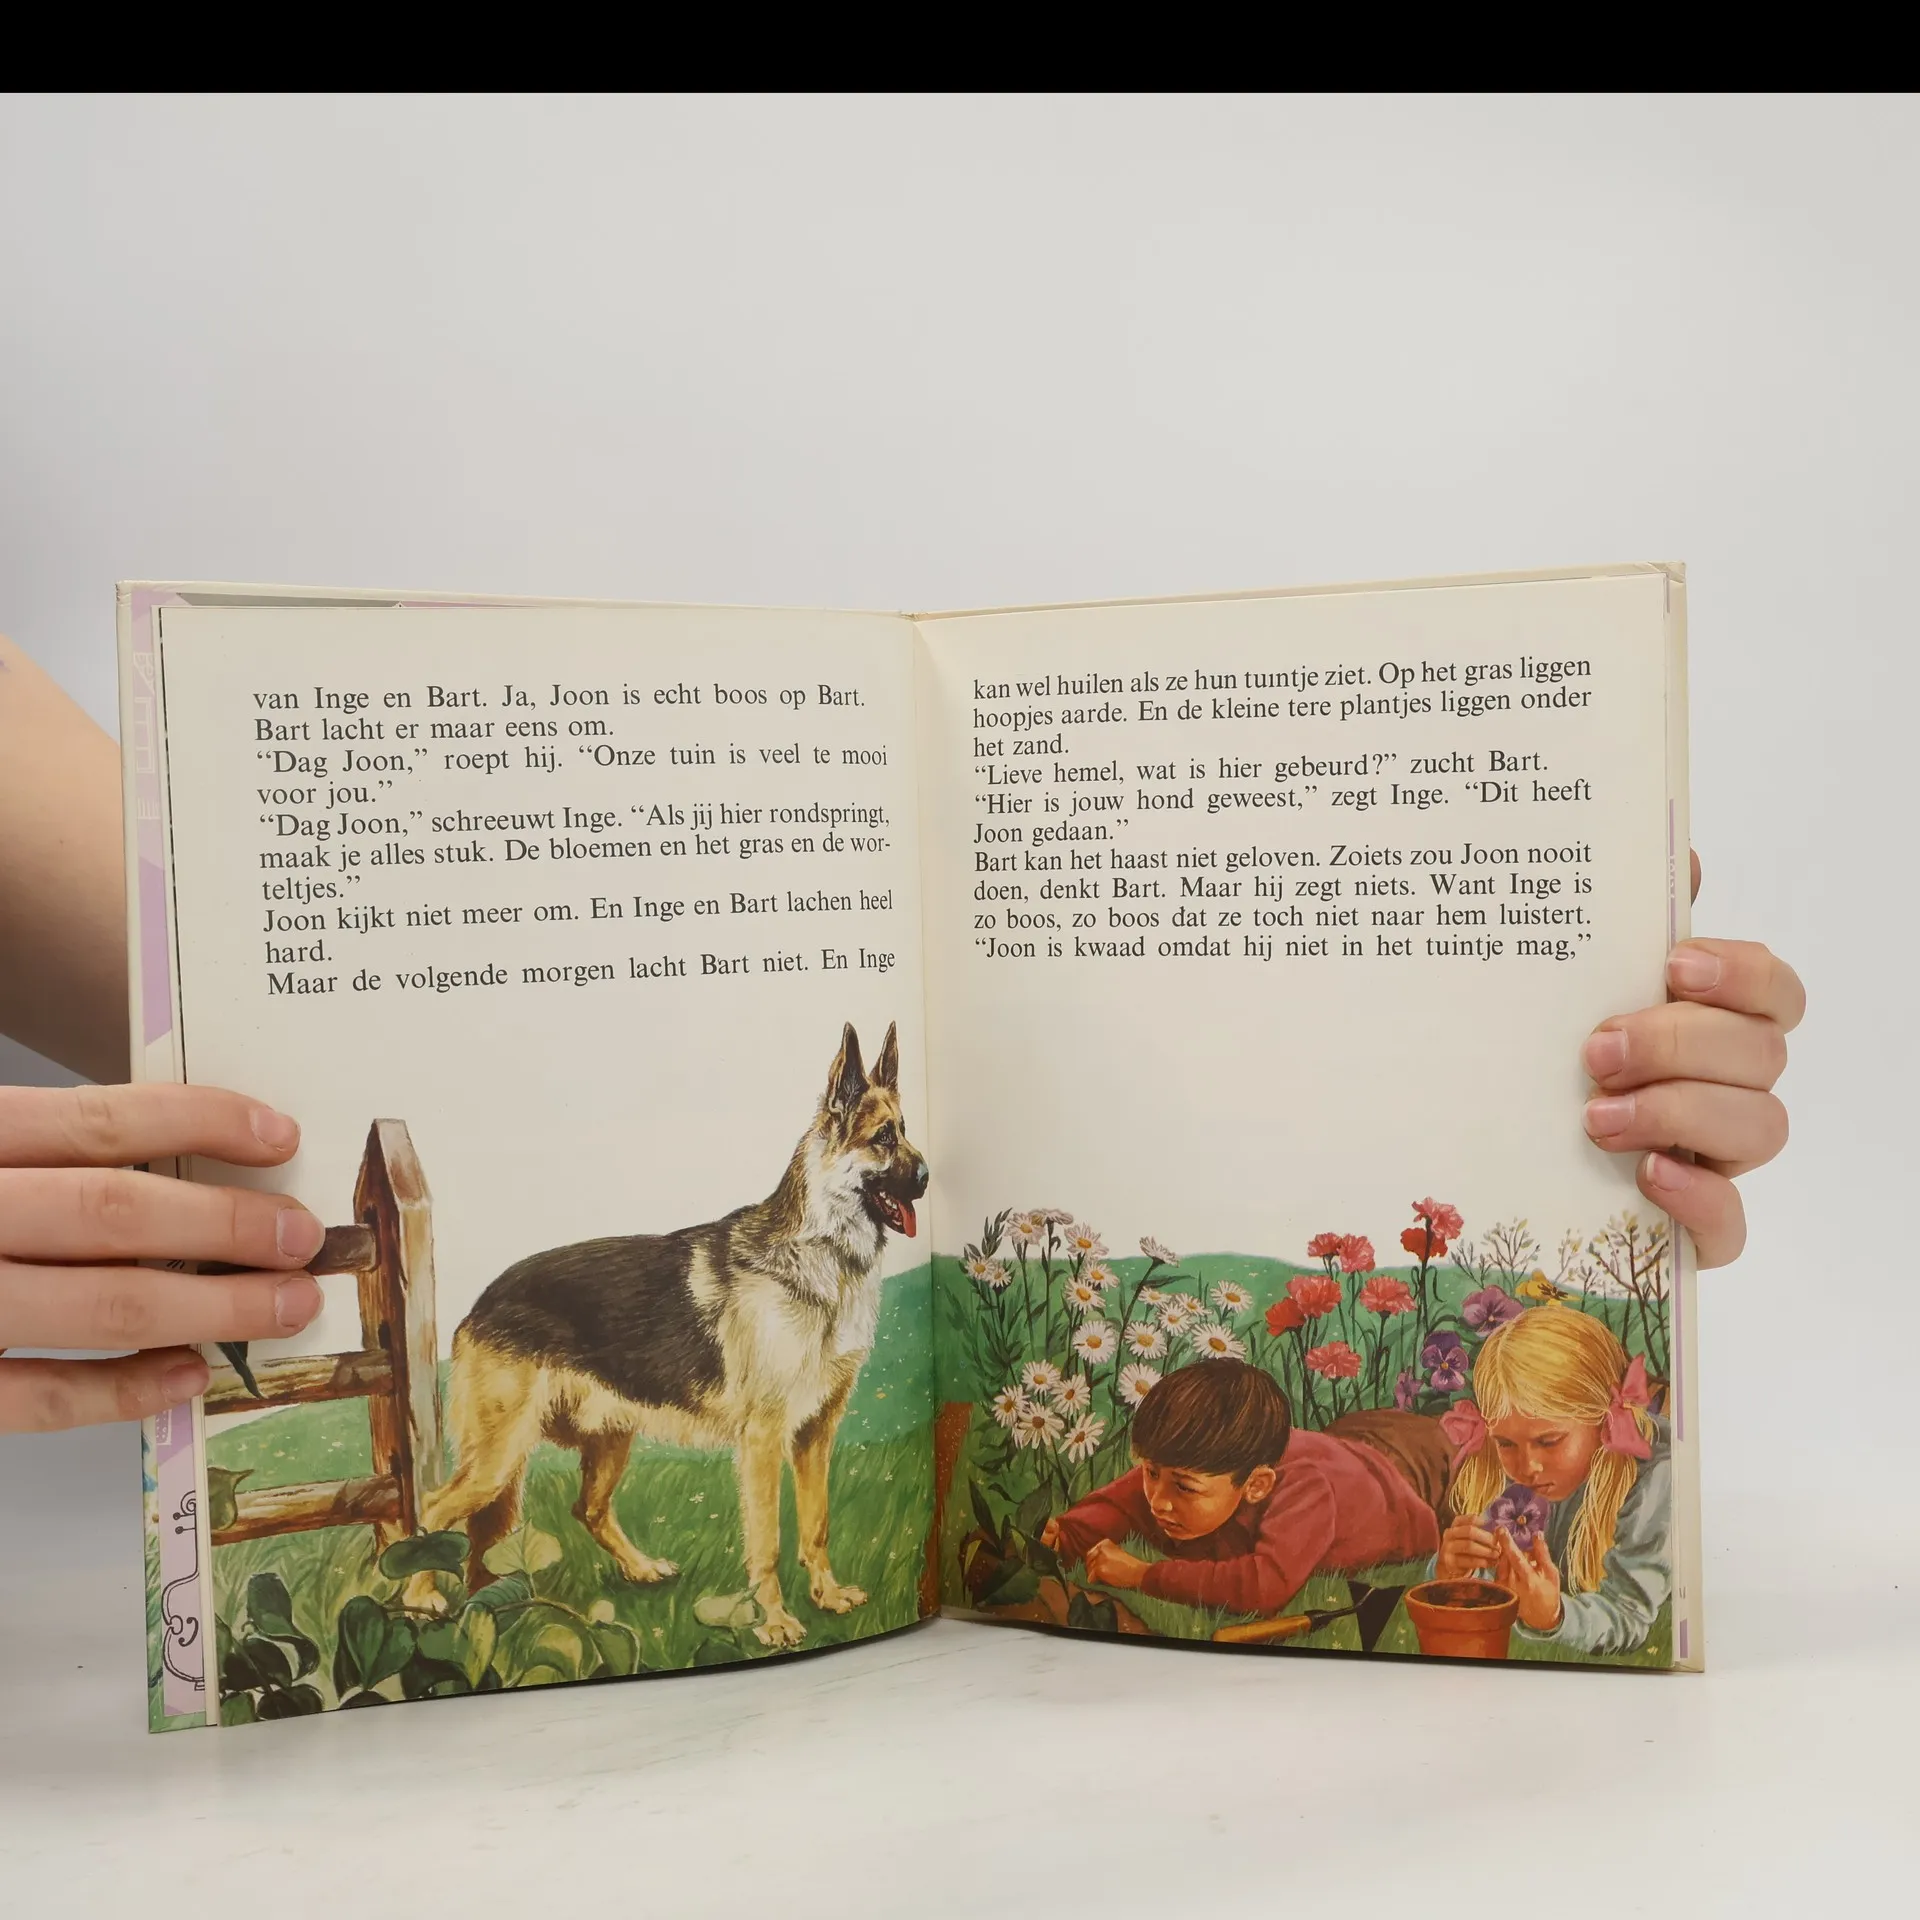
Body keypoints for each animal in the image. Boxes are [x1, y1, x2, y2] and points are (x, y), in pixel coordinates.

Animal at [407, 1022, 928, 1648]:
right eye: (883, 1138)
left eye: (906, 1132)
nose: (929, 1179)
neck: (820, 1257)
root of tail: (481, 1303)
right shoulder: (763, 1441)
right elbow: (769, 1542)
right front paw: (775, 1621)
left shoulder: (815, 1435)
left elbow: (817, 1524)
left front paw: (827, 1596)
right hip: (498, 1457)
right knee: (431, 1510)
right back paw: (420, 1600)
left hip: (602, 1442)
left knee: (582, 1510)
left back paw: (619, 1573)